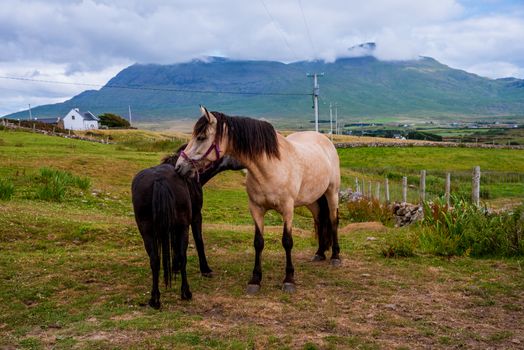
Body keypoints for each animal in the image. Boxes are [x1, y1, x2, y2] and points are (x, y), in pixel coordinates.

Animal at [133, 146, 244, 308]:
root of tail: (159, 180)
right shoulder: (196, 216)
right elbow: (198, 242)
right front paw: (205, 269)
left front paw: (175, 268)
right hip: (182, 226)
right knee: (182, 254)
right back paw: (186, 292)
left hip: (146, 231)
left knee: (154, 260)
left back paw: (155, 299)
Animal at [176, 106, 340, 292]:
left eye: (201, 137)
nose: (179, 166)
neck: (270, 168)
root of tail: (325, 141)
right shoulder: (256, 209)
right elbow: (258, 242)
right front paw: (255, 279)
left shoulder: (288, 209)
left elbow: (287, 241)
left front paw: (289, 279)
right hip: (312, 200)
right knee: (320, 220)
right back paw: (319, 253)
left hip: (332, 193)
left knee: (333, 220)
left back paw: (335, 256)